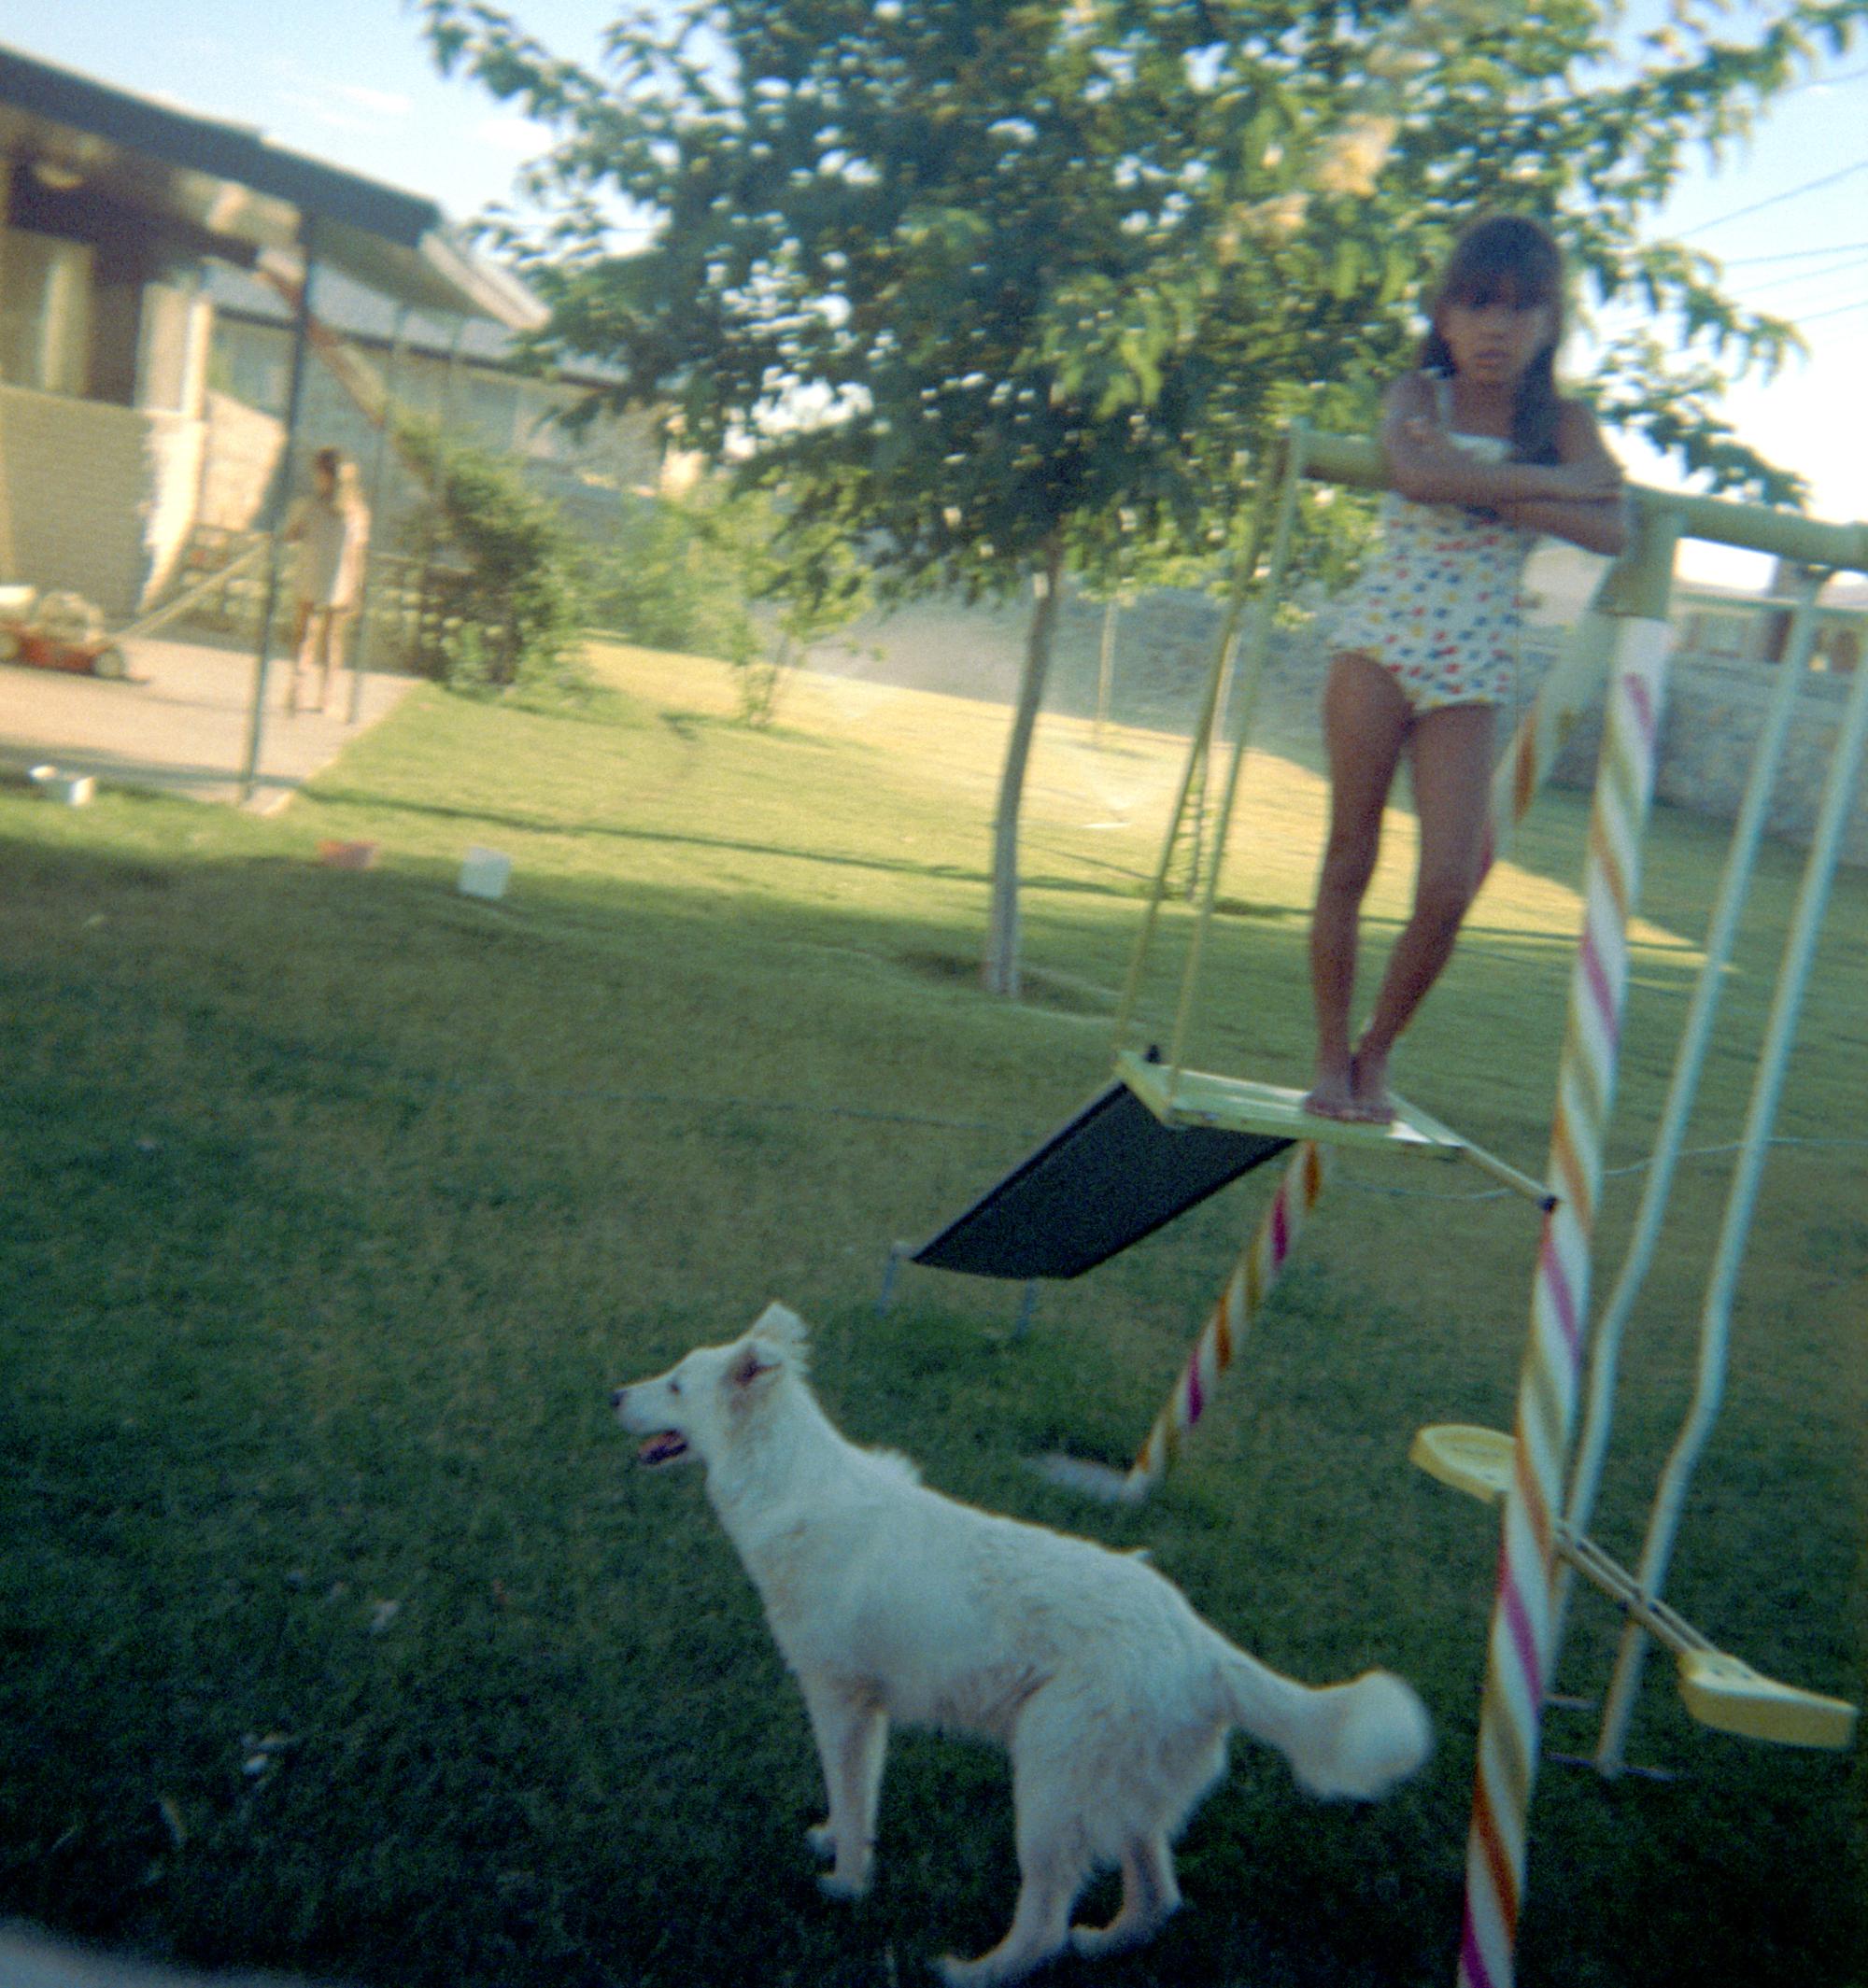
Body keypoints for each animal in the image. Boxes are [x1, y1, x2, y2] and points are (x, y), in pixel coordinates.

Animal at [613, 1304, 1432, 1988]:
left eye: (677, 1383)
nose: (616, 1394)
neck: (787, 1486)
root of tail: (1205, 1649)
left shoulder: (840, 1700)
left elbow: (849, 1797)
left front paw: (845, 1885)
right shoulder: (869, 1711)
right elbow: (856, 1803)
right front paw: (834, 1844)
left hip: (1046, 1787)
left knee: (1044, 1924)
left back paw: (970, 1973)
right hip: (1117, 1798)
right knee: (1155, 1899)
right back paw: (1101, 1945)